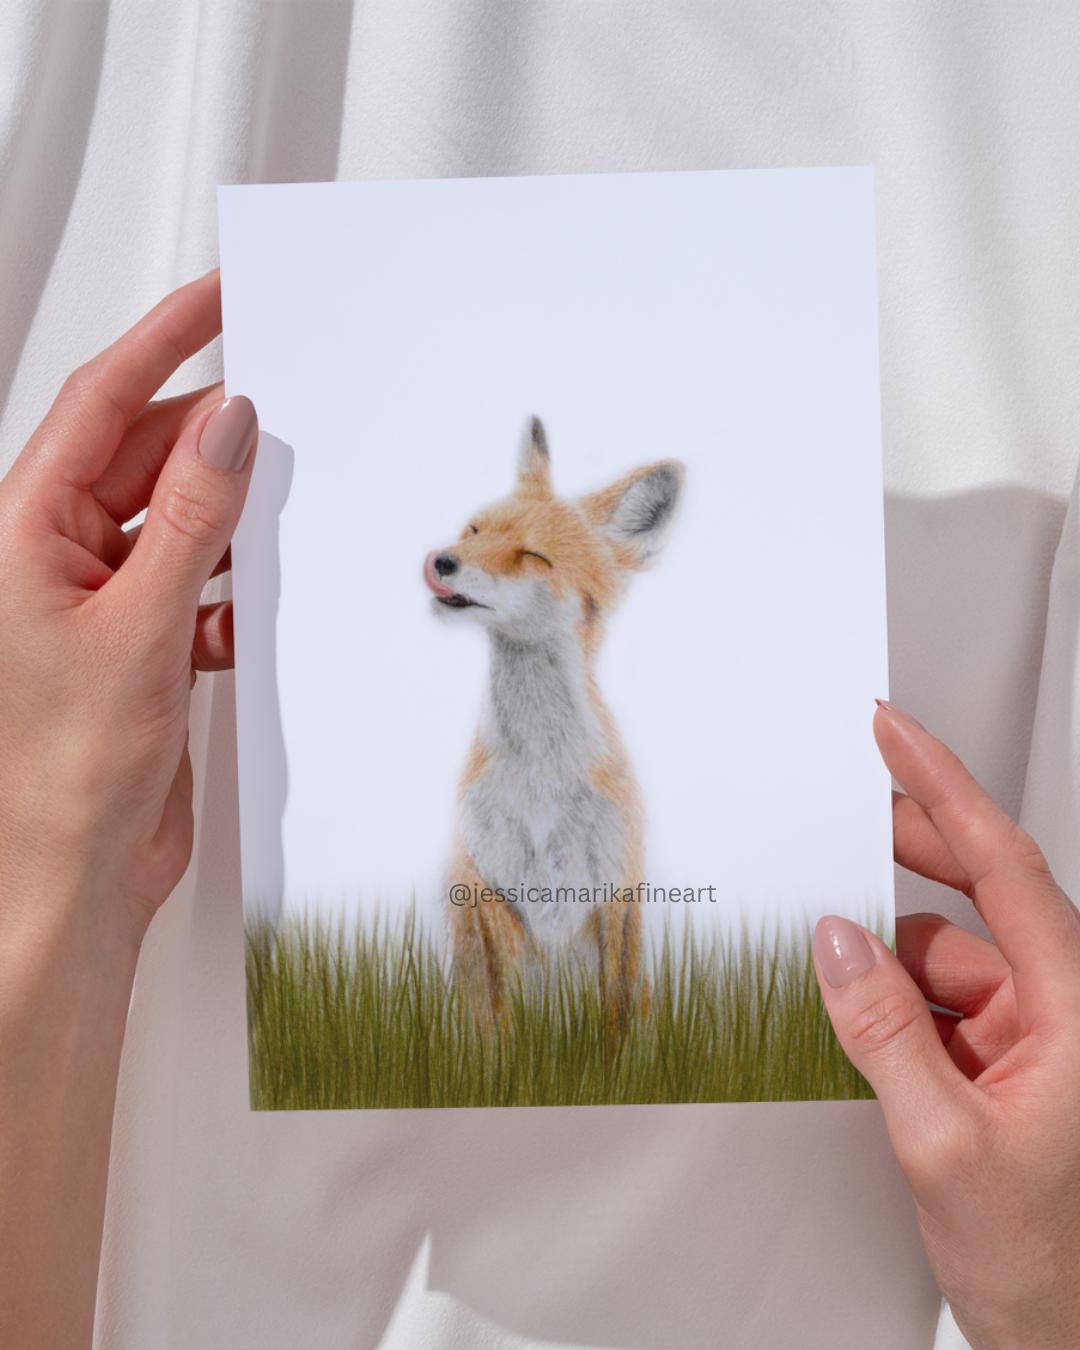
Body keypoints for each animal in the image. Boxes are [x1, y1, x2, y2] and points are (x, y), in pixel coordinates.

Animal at [423, 416, 685, 1031]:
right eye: (473, 530)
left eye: (532, 556)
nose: (442, 560)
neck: (540, 780)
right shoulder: (486, 895)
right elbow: (500, 1028)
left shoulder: (615, 894)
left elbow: (618, 1023)